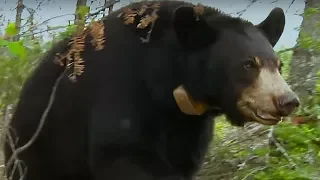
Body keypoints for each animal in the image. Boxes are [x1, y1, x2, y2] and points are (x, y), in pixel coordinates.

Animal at [3, 0, 300, 180]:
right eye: (249, 64)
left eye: (279, 65)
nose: (288, 101)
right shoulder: (121, 88)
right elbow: (124, 152)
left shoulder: (190, 125)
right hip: (39, 152)